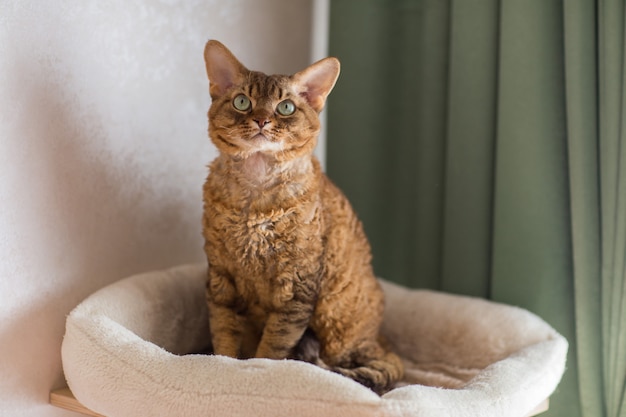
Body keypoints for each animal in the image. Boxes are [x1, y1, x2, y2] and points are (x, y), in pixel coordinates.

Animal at [202, 39, 402, 394]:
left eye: (285, 108)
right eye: (242, 102)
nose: (262, 121)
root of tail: (381, 340)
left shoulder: (296, 290)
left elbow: (271, 351)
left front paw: (255, 374)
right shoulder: (221, 282)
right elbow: (223, 341)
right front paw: (221, 369)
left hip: (336, 320)